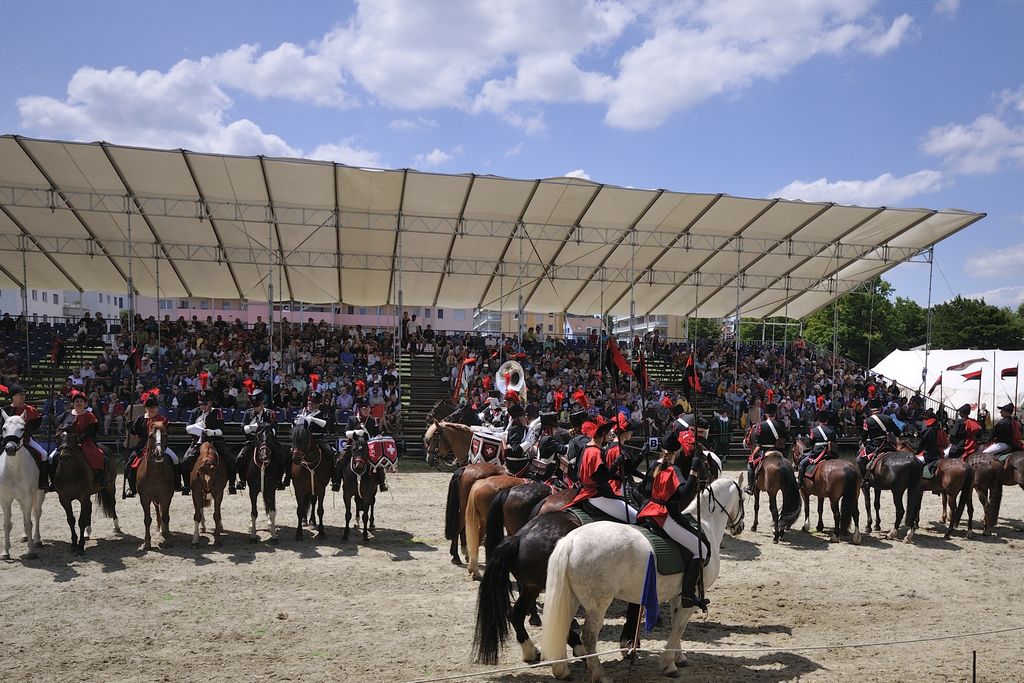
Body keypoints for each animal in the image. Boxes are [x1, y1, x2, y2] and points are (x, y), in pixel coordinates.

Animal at [0, 413, 45, 557]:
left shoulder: (28, 497)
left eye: (22, 429)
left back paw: (37, 540)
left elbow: (28, 523)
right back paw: (25, 536)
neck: (13, 469)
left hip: (39, 494)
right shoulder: (5, 499)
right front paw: (5, 551)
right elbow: (6, 524)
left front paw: (30, 551)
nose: (10, 449)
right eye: (4, 428)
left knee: (36, 513)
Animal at [137, 419, 175, 552]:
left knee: (163, 513)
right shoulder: (144, 498)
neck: (154, 474)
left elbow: (165, 517)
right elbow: (147, 519)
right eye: (150, 436)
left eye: (165, 435)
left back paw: (164, 531)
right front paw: (147, 543)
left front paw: (167, 540)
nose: (158, 454)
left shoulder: (166, 497)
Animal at [544, 475, 745, 683]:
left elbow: (676, 624)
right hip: (597, 604)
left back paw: (562, 670)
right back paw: (600, 675)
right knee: (589, 636)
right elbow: (680, 626)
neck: (704, 524)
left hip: (571, 598)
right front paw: (668, 664)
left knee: (563, 627)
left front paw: (679, 657)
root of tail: (571, 540)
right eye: (743, 499)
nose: (740, 527)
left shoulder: (679, 595)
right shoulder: (692, 596)